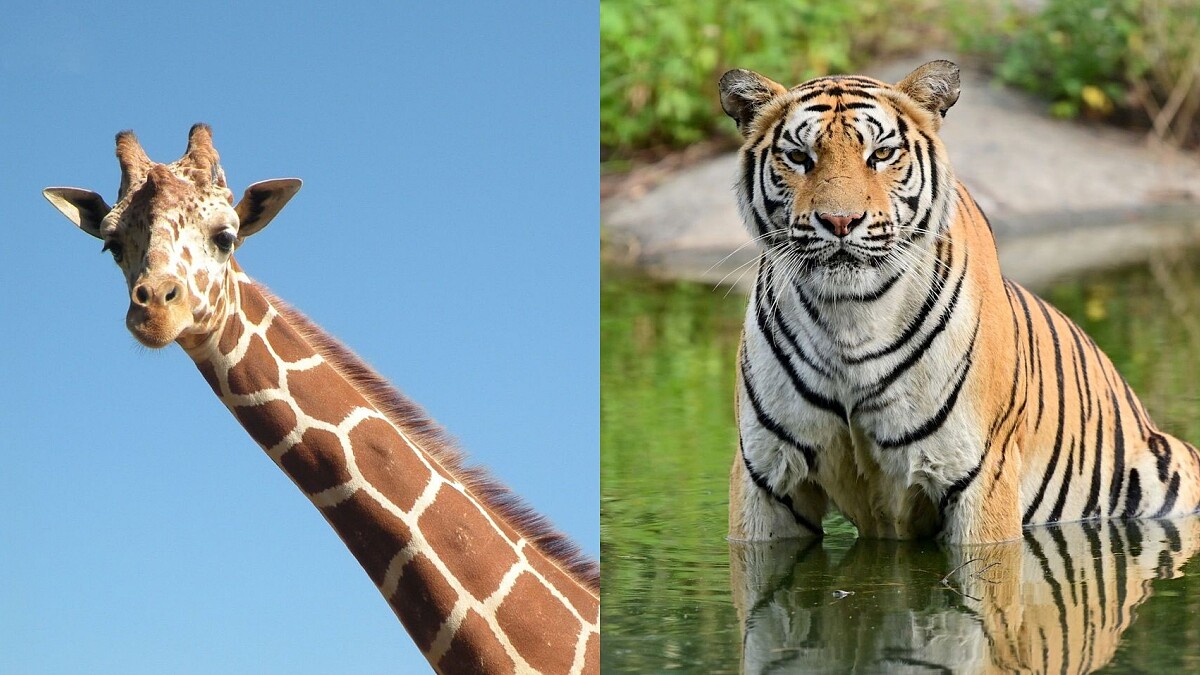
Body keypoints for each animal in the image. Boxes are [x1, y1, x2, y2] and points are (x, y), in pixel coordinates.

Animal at [720, 60, 1200, 544]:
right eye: (800, 157)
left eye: (881, 155)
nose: (840, 221)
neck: (849, 319)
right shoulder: (765, 476)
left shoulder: (979, 474)